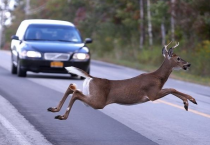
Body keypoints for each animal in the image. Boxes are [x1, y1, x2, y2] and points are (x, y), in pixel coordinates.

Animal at [47, 41, 197, 120]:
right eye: (178, 58)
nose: (188, 64)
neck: (158, 77)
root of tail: (92, 78)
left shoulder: (155, 93)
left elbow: (173, 89)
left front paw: (187, 102)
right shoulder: (152, 94)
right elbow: (172, 88)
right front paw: (190, 100)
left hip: (93, 95)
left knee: (72, 87)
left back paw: (54, 109)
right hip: (98, 101)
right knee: (76, 93)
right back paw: (62, 116)